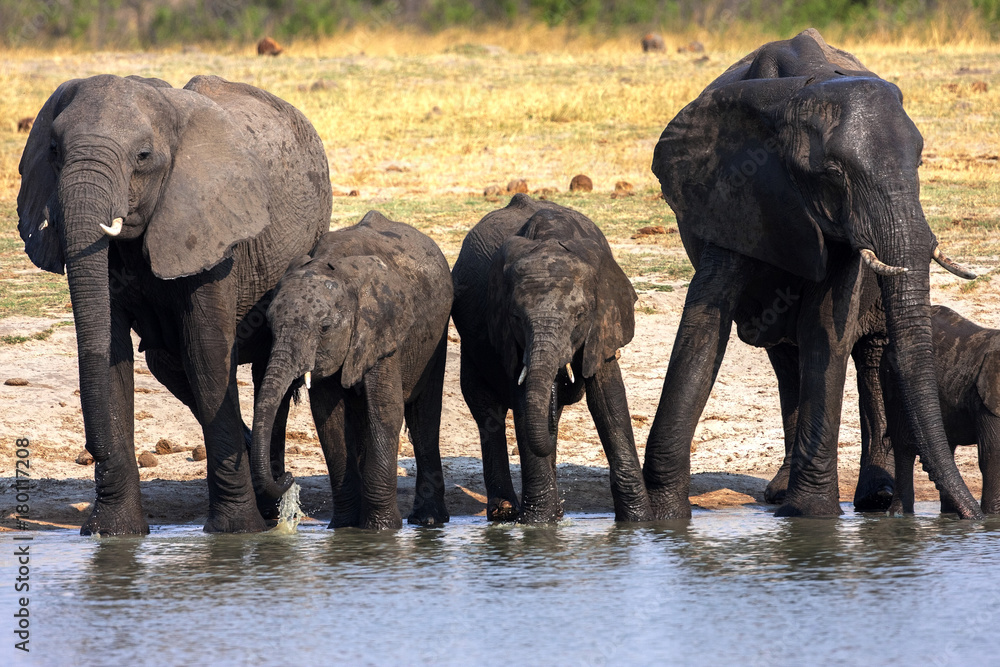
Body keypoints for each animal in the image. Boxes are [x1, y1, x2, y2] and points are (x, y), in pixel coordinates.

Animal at [17, 74, 332, 535]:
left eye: (143, 156)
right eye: (54, 150)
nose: (90, 452)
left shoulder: (214, 235)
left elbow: (206, 355)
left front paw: (236, 532)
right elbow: (112, 355)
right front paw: (113, 534)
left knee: (258, 371)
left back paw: (271, 499)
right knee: (167, 363)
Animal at [250, 211, 453, 530]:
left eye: (324, 328)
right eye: (269, 324)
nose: (288, 476)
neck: (336, 266)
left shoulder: (383, 329)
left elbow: (385, 410)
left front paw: (380, 529)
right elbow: (328, 418)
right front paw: (344, 527)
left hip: (435, 338)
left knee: (424, 418)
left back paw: (429, 520)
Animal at [451, 194, 652, 524]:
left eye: (580, 315)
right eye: (516, 317)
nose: (567, 375)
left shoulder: (604, 321)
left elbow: (609, 398)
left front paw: (642, 522)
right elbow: (523, 401)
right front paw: (537, 525)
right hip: (470, 343)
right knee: (487, 410)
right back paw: (505, 511)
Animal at [646, 28, 984, 519]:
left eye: (919, 163)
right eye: (832, 174)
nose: (976, 517)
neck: (794, 97)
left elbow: (826, 324)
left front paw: (810, 517)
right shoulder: (733, 192)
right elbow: (703, 323)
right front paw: (664, 518)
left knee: (870, 355)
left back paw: (874, 499)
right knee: (786, 356)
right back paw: (783, 493)